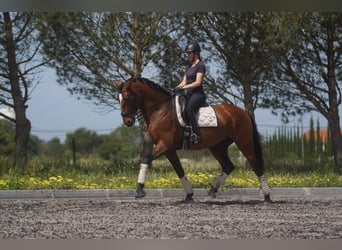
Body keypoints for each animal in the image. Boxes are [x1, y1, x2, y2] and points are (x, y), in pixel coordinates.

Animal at [114, 77, 270, 202]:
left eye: (127, 97)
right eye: (118, 99)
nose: (127, 121)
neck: (160, 110)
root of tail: (243, 112)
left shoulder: (164, 145)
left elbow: (146, 159)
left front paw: (139, 191)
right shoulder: (168, 150)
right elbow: (179, 170)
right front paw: (189, 195)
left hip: (243, 142)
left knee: (256, 165)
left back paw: (267, 196)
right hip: (217, 146)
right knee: (228, 166)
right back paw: (212, 191)